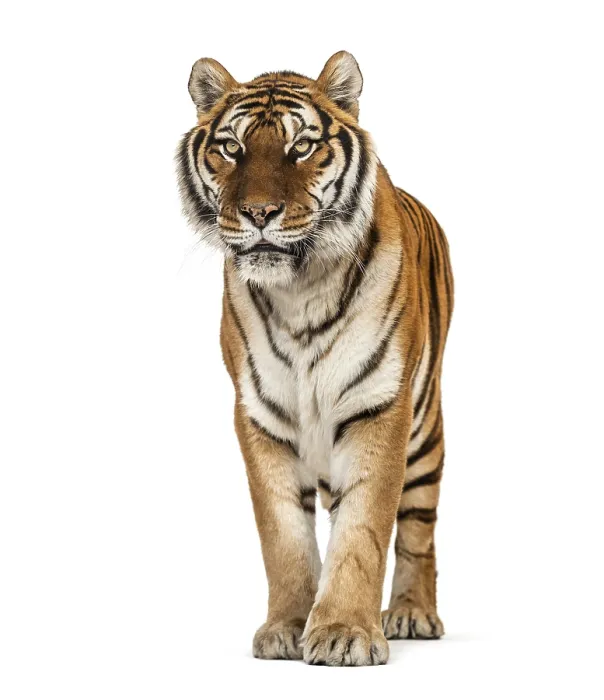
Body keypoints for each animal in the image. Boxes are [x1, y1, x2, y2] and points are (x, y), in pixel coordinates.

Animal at [176, 51, 453, 666]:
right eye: (230, 147)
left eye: (300, 146)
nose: (259, 213)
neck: (299, 289)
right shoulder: (260, 414)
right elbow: (283, 535)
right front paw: (287, 627)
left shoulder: (380, 405)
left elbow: (363, 529)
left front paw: (345, 632)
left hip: (426, 428)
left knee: (418, 527)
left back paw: (412, 614)